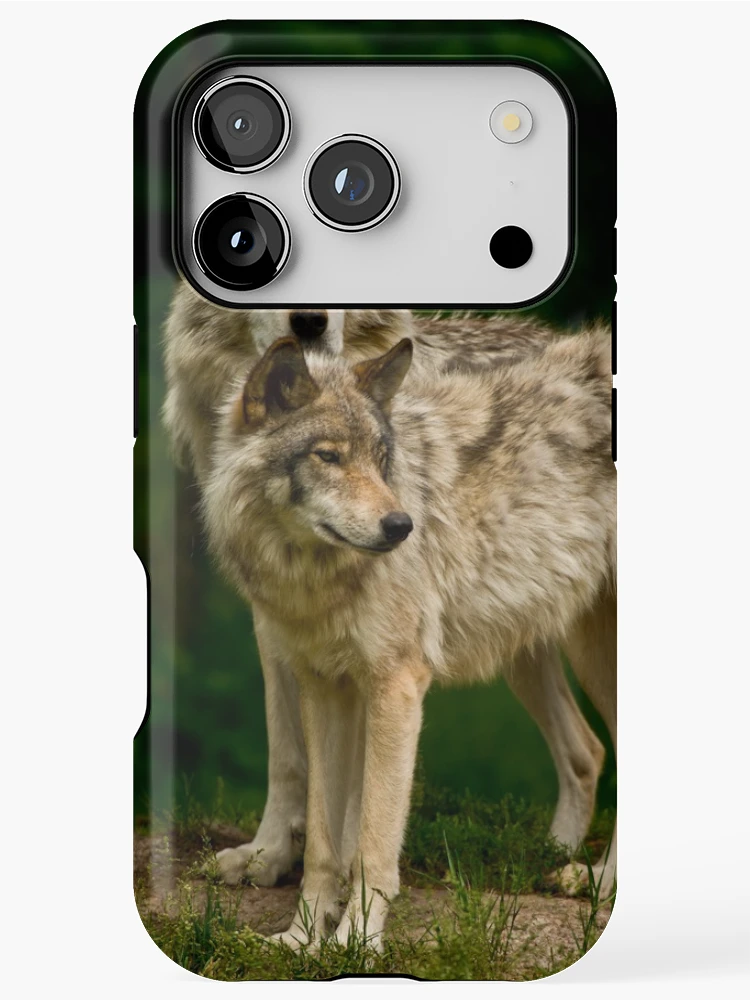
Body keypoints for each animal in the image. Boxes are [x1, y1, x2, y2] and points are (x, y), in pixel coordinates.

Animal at [163, 281, 609, 894]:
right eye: (327, 458)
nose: (308, 323)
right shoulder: (286, 633)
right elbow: (290, 756)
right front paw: (270, 857)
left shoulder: (384, 672)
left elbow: (362, 804)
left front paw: (349, 896)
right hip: (520, 644)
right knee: (586, 750)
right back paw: (550, 859)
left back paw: (593, 878)